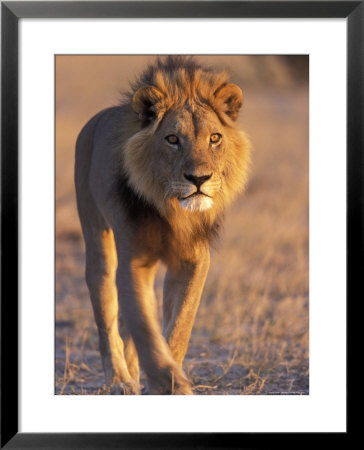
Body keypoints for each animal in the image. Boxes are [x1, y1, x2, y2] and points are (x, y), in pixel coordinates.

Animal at [74, 56, 250, 394]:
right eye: (172, 139)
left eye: (215, 138)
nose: (199, 179)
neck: (173, 212)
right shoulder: (132, 262)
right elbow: (144, 328)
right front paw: (167, 382)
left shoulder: (194, 261)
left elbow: (178, 325)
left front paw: (166, 381)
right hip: (97, 239)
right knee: (106, 315)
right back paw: (120, 379)